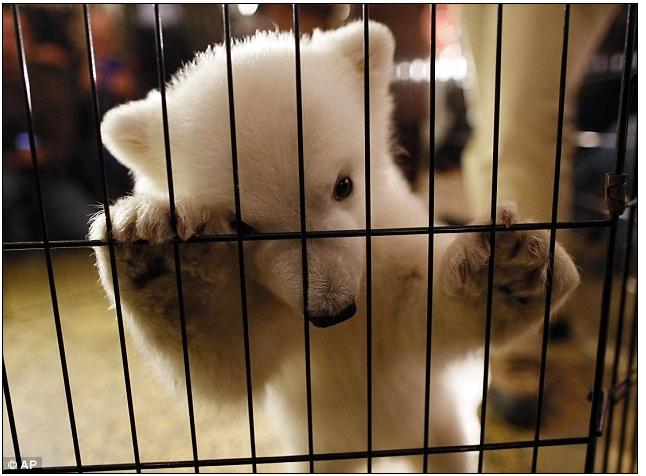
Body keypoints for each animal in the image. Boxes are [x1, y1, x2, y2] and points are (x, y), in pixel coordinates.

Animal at [89, 21, 580, 472]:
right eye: (242, 224)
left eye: (343, 185)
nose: (333, 311)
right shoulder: (276, 312)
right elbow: (231, 361)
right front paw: (162, 256)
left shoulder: (385, 263)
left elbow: (423, 313)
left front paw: (505, 267)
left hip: (439, 423)